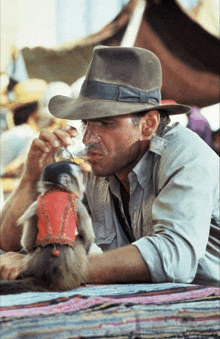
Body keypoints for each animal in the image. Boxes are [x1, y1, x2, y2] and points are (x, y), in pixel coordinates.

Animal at [0, 161, 94, 294]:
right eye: (81, 177)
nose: (84, 184)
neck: (57, 190)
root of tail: (48, 277)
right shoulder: (78, 204)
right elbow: (87, 238)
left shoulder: (35, 204)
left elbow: (28, 243)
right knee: (79, 240)